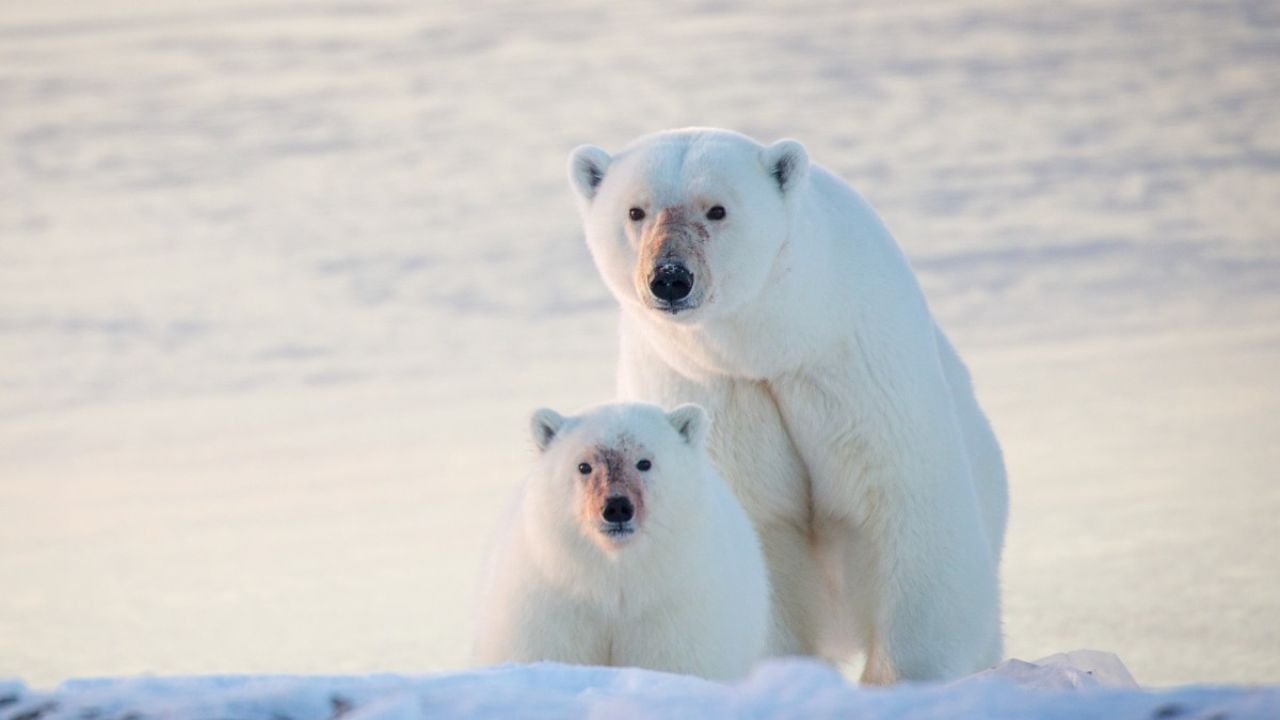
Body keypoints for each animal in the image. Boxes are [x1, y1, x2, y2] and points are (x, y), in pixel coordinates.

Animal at [473, 404, 762, 676]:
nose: (616, 507)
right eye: (584, 466)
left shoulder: (675, 605)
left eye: (644, 462)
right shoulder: (551, 602)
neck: (614, 583)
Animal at [570, 128, 1008, 681]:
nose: (670, 277)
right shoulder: (715, 387)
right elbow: (761, 529)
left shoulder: (854, 366)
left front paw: (901, 678)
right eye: (635, 210)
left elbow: (903, 506)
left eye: (717, 209)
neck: (773, 345)